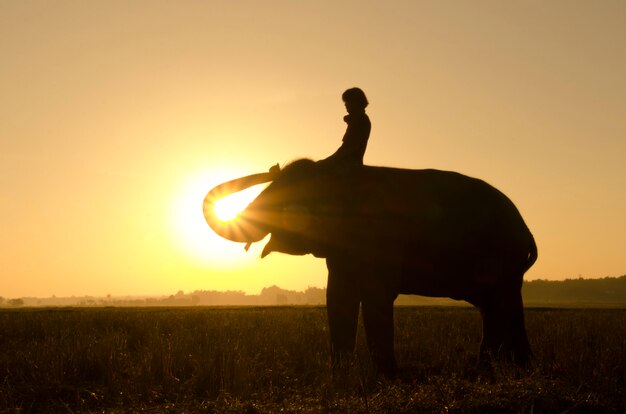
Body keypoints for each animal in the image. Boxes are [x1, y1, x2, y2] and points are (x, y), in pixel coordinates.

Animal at [202, 158, 532, 376]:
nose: (271, 168)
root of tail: (524, 227)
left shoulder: (380, 239)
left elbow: (376, 297)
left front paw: (386, 377)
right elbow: (338, 297)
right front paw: (340, 376)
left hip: (499, 257)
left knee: (499, 306)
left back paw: (494, 370)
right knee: (498, 307)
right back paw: (512, 370)